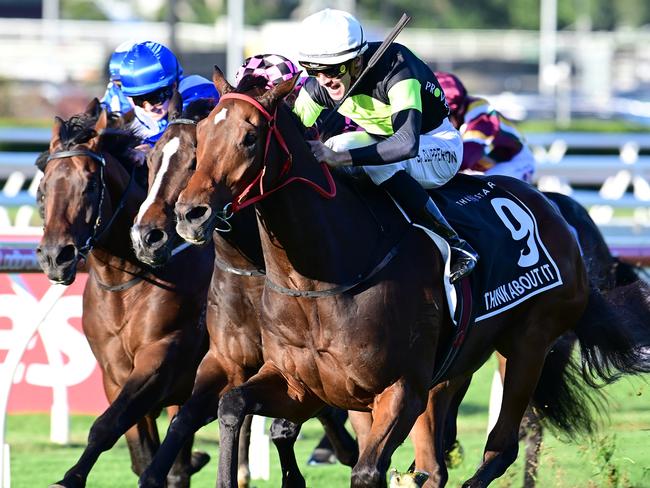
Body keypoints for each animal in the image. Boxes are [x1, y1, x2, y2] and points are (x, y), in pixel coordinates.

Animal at [36, 99, 213, 488]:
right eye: (44, 186)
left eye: (89, 184)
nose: (56, 256)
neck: (126, 281)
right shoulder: (114, 372)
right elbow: (140, 449)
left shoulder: (161, 356)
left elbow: (106, 426)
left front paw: (69, 477)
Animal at [130, 93, 356, 486]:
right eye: (153, 157)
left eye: (193, 159)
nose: (147, 236)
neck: (253, 270)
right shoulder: (227, 359)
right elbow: (186, 417)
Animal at [172, 69, 648, 488]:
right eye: (202, 137)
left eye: (250, 137)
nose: (190, 213)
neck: (321, 279)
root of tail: (555, 212)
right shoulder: (302, 383)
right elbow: (235, 406)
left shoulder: (402, 389)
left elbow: (366, 470)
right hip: (458, 364)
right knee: (441, 458)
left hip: (529, 345)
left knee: (503, 446)